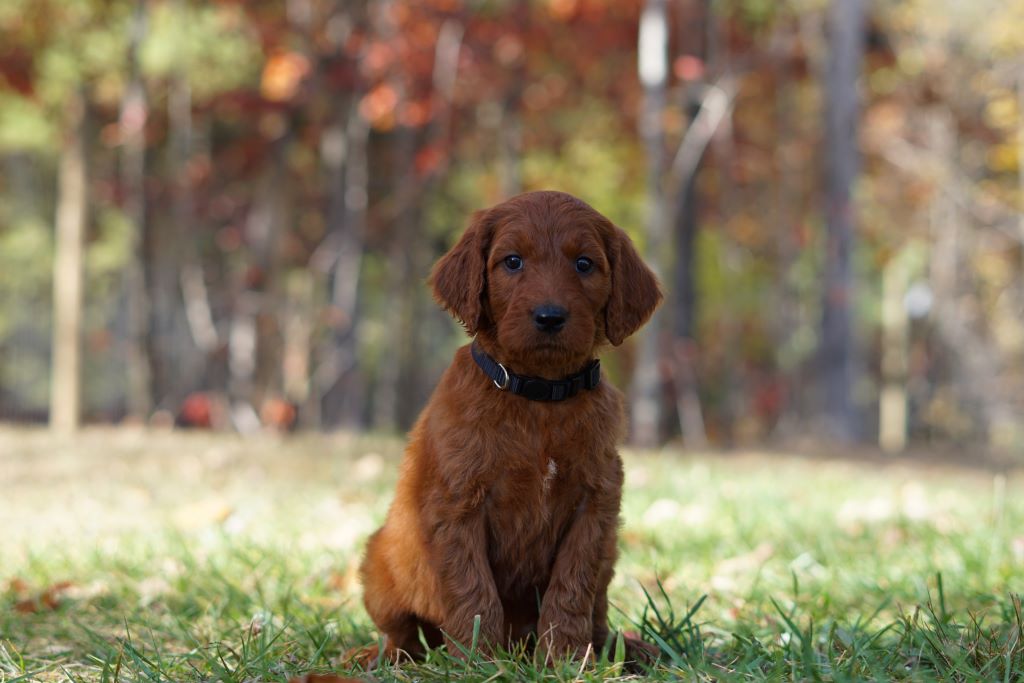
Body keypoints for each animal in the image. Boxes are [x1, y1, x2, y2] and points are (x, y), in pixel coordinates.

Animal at [360, 189, 663, 663]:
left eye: (584, 264)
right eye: (513, 261)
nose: (550, 316)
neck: (539, 396)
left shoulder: (596, 505)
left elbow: (572, 585)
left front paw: (564, 659)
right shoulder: (458, 504)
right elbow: (472, 589)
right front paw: (479, 661)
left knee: (597, 613)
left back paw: (624, 649)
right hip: (379, 564)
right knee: (403, 634)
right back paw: (384, 658)